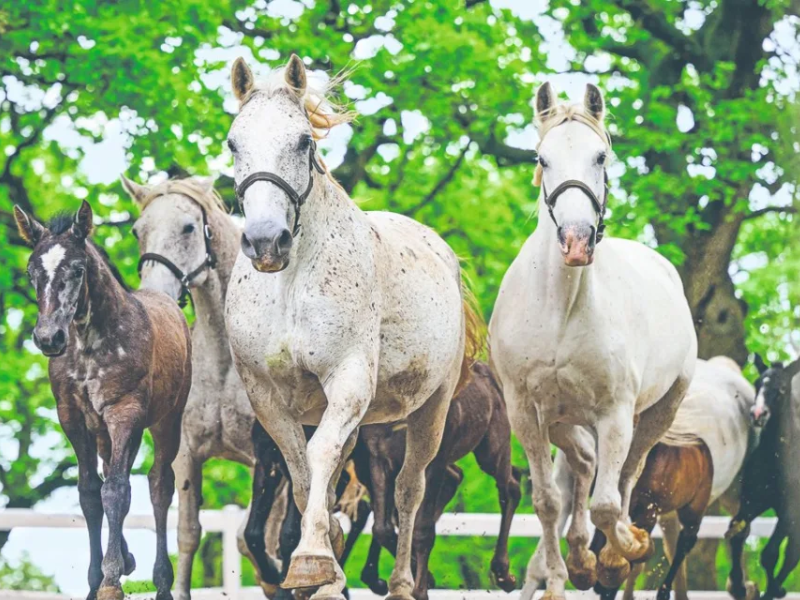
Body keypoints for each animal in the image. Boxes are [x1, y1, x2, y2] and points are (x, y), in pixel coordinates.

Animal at [14, 202, 193, 600]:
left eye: (78, 269)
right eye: (31, 271)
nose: (48, 337)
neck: (88, 344)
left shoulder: (125, 411)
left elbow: (116, 490)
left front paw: (111, 580)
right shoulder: (72, 417)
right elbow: (90, 493)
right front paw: (98, 579)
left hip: (165, 421)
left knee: (159, 485)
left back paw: (162, 582)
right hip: (102, 432)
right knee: (113, 470)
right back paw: (128, 558)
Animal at [222, 56, 478, 600]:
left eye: (303, 141)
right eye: (234, 142)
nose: (265, 241)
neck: (291, 285)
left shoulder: (348, 380)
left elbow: (319, 456)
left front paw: (312, 561)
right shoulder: (267, 397)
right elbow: (300, 473)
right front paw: (323, 562)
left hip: (430, 411)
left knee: (409, 490)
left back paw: (400, 582)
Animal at [350, 360, 520, 600]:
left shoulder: (435, 458)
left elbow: (422, 529)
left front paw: (420, 589)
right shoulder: (377, 457)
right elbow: (383, 528)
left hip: (493, 446)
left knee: (510, 488)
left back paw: (504, 574)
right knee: (457, 478)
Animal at [488, 83, 692, 600]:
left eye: (601, 156)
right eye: (543, 159)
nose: (577, 241)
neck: (560, 309)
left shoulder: (615, 414)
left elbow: (608, 502)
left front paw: (623, 553)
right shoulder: (525, 411)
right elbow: (547, 502)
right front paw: (569, 569)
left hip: (658, 411)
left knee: (625, 475)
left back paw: (612, 554)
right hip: (561, 417)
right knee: (581, 465)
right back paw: (579, 561)